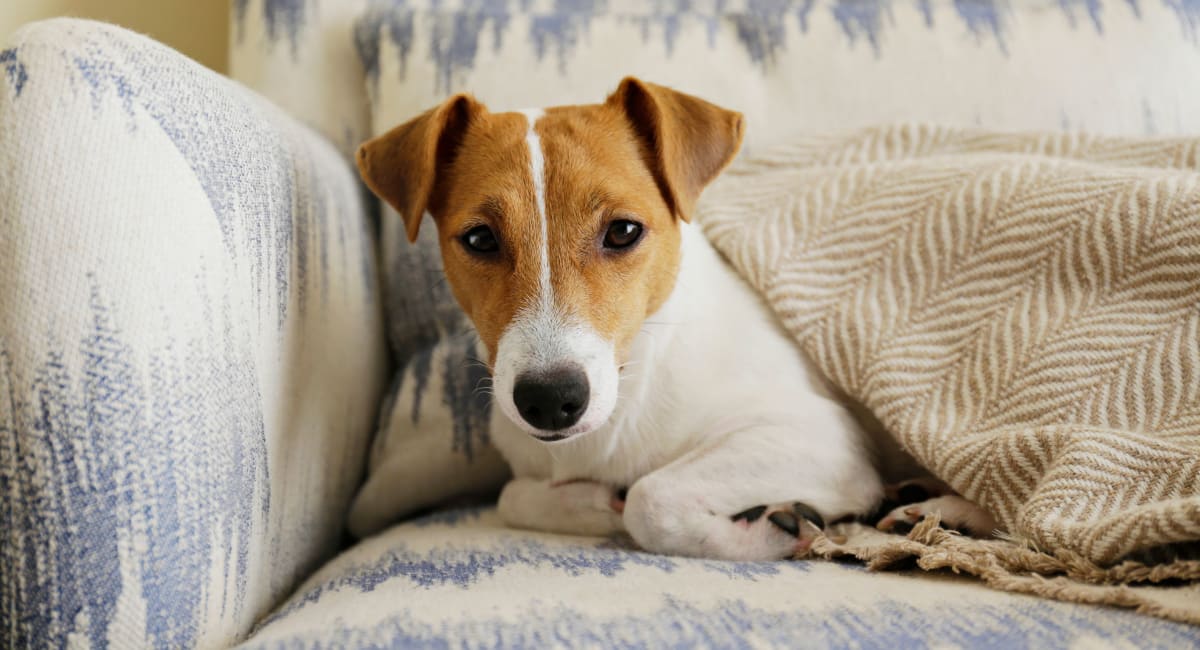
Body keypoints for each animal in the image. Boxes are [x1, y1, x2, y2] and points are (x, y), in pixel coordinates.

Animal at [355, 79, 993, 563]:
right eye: (480, 239)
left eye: (623, 231)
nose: (549, 400)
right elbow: (515, 496)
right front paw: (595, 503)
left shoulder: (823, 438)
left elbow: (650, 499)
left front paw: (770, 529)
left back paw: (946, 513)